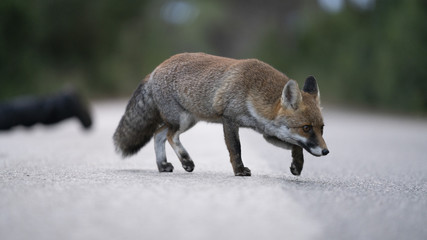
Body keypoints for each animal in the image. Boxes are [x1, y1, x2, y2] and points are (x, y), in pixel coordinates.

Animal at [112, 52, 330, 176]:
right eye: (306, 128)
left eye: (321, 128)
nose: (326, 151)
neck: (252, 91)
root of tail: (155, 69)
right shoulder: (229, 120)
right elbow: (236, 149)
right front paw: (239, 170)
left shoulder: (268, 133)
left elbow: (297, 146)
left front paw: (297, 166)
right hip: (182, 121)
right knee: (169, 136)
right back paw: (186, 161)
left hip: (187, 120)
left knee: (158, 134)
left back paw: (163, 165)